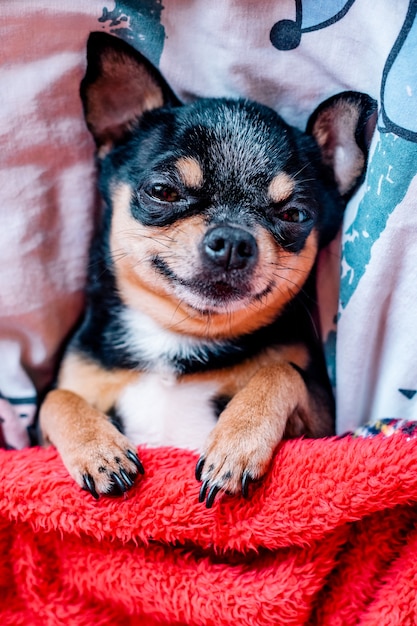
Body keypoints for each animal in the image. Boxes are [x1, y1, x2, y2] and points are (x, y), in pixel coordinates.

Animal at [39, 31, 374, 504]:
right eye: (162, 191)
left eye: (294, 215)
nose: (233, 241)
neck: (180, 337)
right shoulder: (55, 409)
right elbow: (56, 400)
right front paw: (99, 450)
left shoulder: (323, 425)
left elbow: (279, 371)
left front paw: (237, 443)